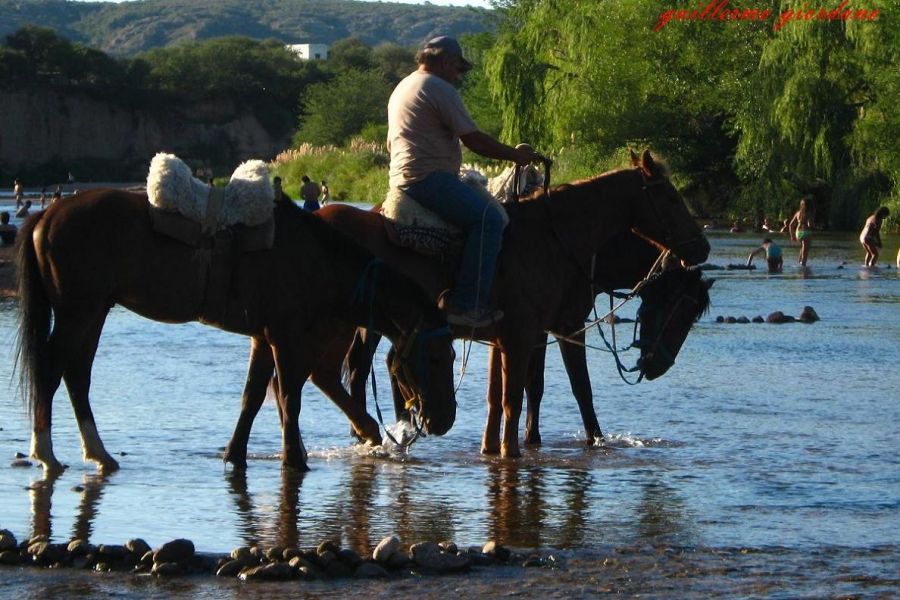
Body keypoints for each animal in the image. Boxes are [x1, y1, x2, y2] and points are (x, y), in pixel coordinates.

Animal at [15, 192, 458, 474]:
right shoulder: (286, 336)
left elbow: (253, 395)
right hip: (77, 312)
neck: (316, 258)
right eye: (438, 355)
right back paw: (46, 453)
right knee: (52, 371)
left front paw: (235, 453)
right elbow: (289, 397)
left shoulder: (262, 337)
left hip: (93, 312)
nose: (444, 420)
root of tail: (47, 215)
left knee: (76, 376)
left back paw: (98, 453)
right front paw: (294, 459)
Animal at [220, 150, 712, 460]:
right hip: (338, 323)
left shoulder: (509, 335)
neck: (560, 239)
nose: (703, 247)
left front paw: (492, 447)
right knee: (327, 375)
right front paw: (584, 444)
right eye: (670, 197)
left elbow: (503, 396)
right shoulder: (552, 329)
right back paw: (370, 429)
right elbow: (567, 391)